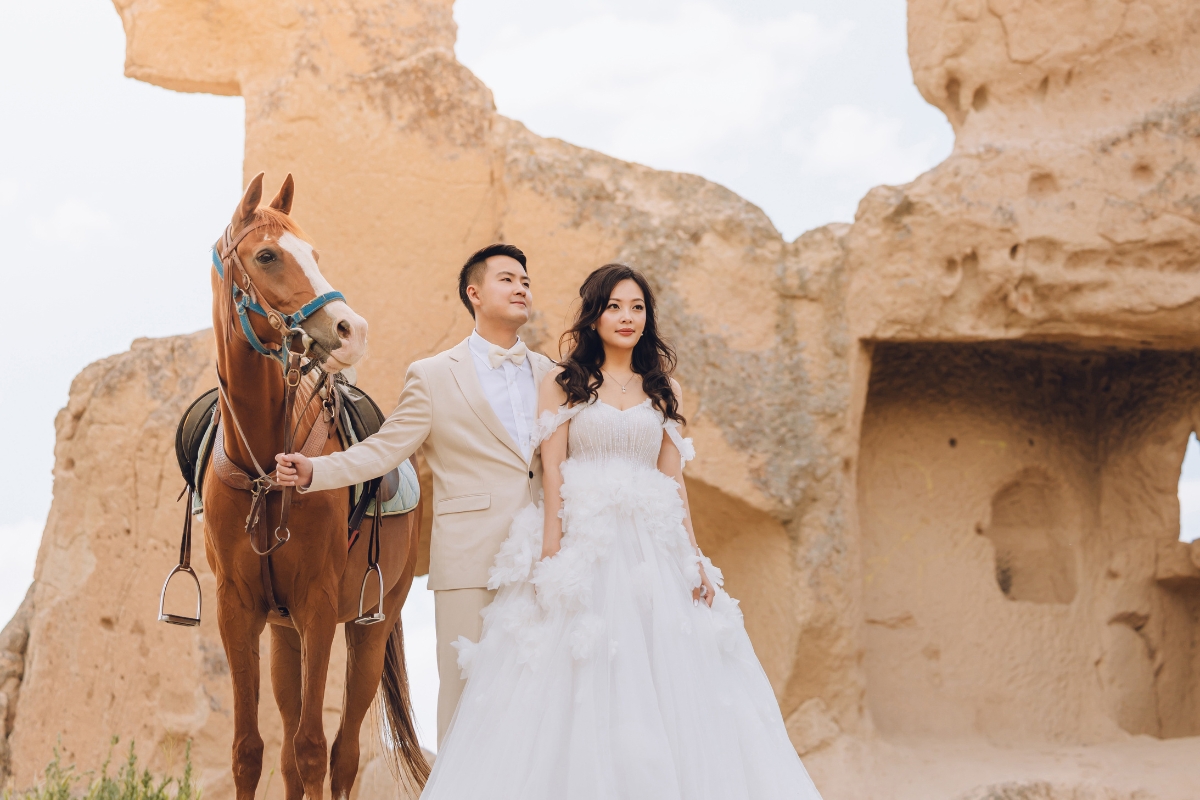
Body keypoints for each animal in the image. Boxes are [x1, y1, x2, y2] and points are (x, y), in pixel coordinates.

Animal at [204, 172, 429, 796]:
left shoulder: (319, 606)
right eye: (267, 255)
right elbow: (249, 751)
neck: (263, 467)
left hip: (369, 627)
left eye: (316, 254)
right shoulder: (238, 609)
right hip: (284, 634)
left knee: (343, 753)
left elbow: (312, 749)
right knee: (285, 753)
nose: (351, 330)